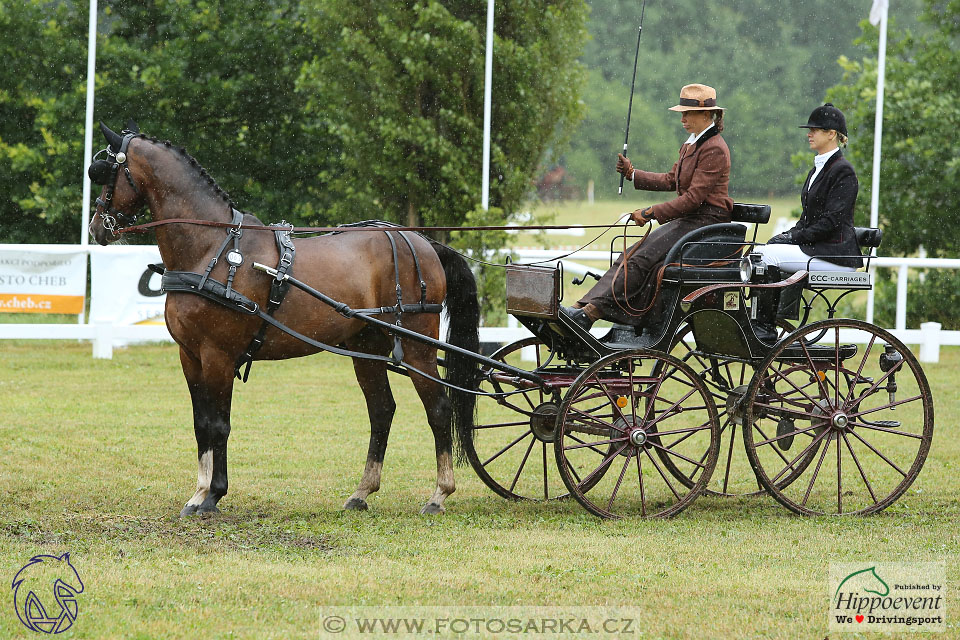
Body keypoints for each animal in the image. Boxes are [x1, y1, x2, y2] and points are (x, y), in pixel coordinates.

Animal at [88, 122, 478, 516]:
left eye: (104, 172)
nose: (96, 228)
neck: (212, 249)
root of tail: (423, 241)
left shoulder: (218, 355)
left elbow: (219, 424)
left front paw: (213, 495)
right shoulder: (190, 355)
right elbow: (201, 424)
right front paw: (198, 493)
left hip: (417, 347)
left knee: (439, 408)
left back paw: (439, 493)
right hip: (367, 348)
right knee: (382, 410)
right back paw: (362, 492)